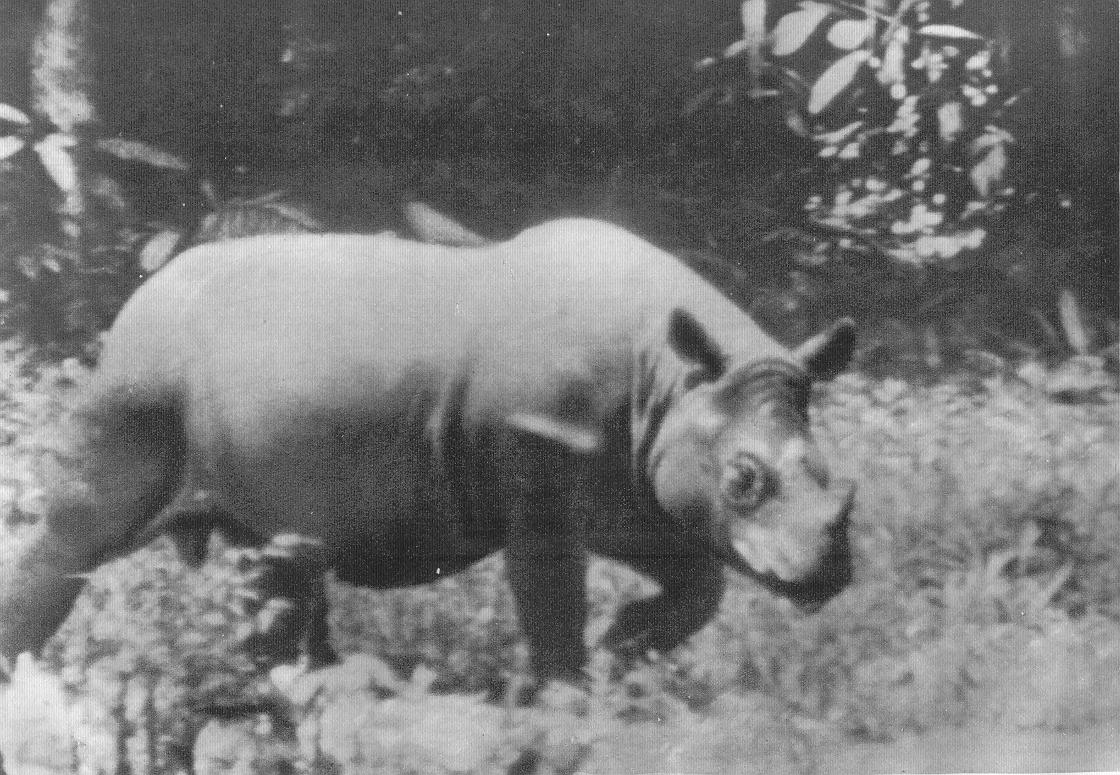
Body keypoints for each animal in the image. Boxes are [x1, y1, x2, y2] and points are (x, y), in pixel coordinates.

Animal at [0, 218, 855, 682]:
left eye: (840, 483)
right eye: (743, 480)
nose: (829, 575)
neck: (672, 379)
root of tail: (139, 291)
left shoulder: (635, 479)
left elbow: (698, 581)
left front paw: (625, 644)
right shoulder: (540, 455)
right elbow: (550, 594)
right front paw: (570, 694)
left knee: (267, 552)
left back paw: (292, 683)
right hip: (141, 370)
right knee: (82, 532)